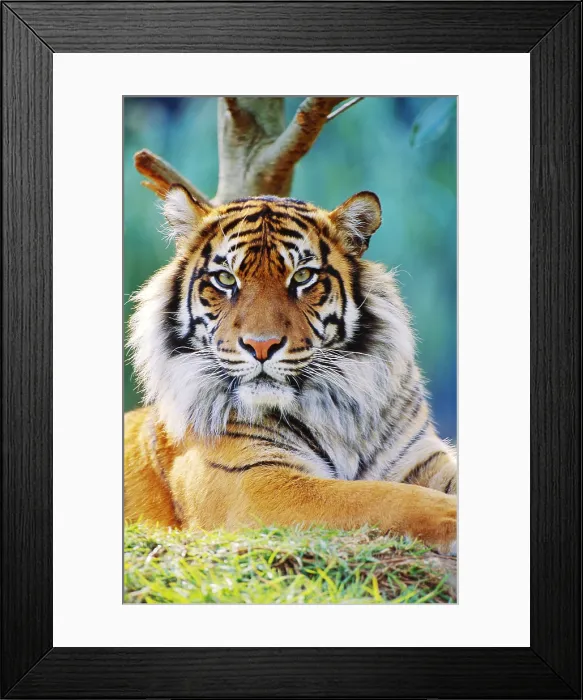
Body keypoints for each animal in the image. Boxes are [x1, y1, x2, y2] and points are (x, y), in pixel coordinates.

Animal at [124, 186, 457, 552]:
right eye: (225, 279)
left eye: (302, 276)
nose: (261, 346)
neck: (338, 407)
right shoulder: (252, 481)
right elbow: (378, 497)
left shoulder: (423, 458)